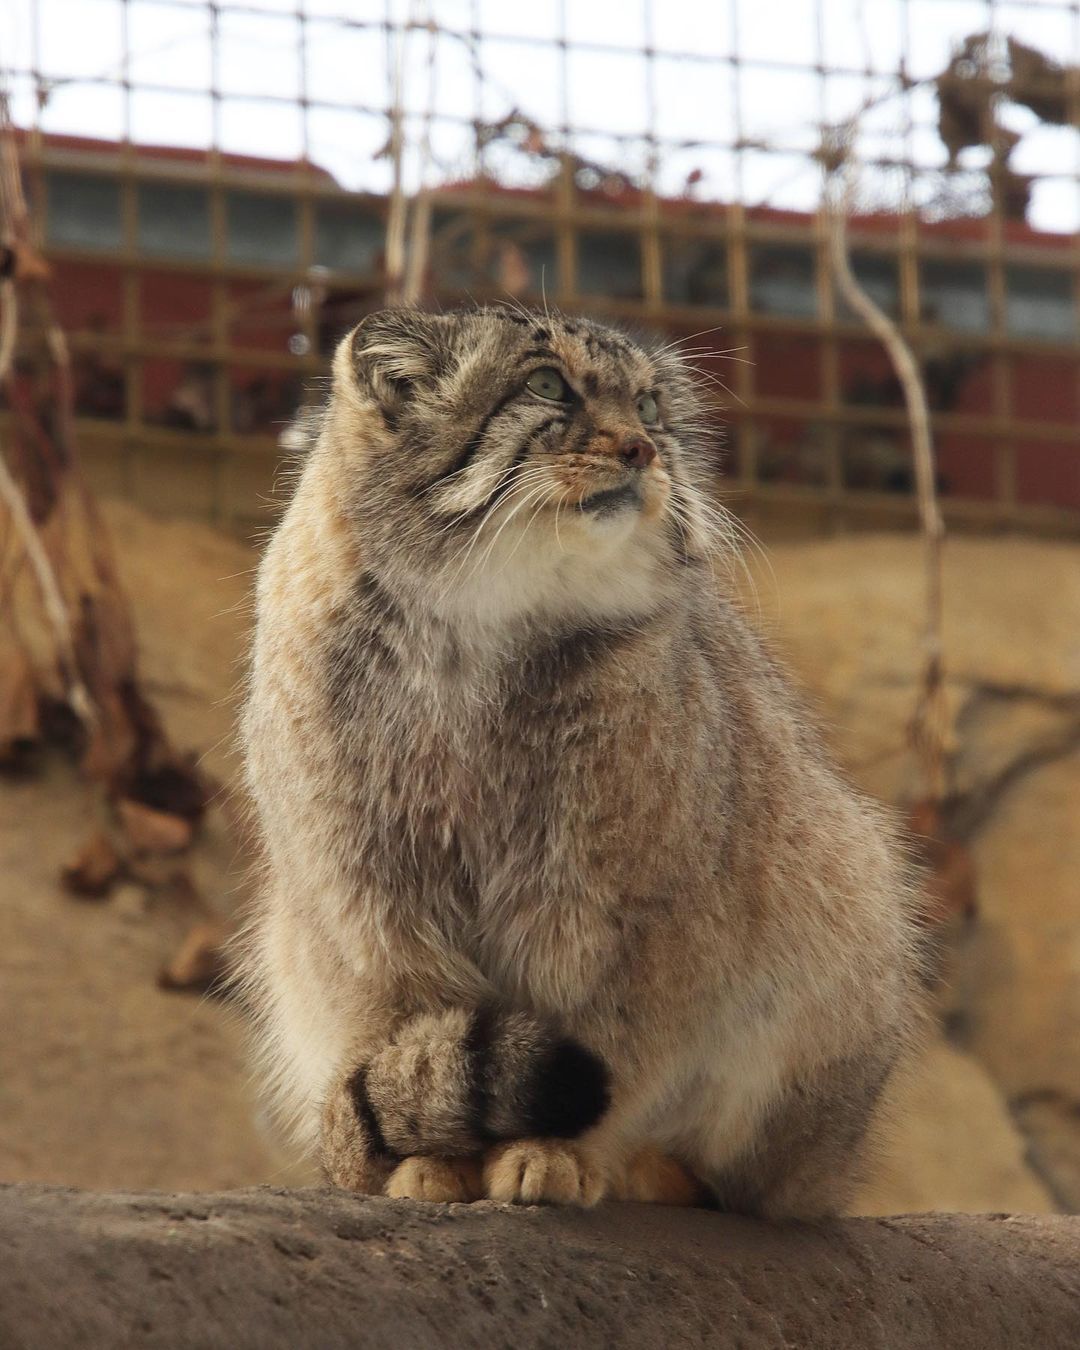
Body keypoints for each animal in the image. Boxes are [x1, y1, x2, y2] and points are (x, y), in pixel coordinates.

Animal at [243, 309, 918, 1215]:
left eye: (651, 405)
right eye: (546, 385)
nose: (643, 448)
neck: (474, 630)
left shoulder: (627, 914)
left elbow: (614, 1056)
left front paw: (555, 1153)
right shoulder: (369, 906)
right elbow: (405, 1028)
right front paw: (432, 1163)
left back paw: (655, 1174)